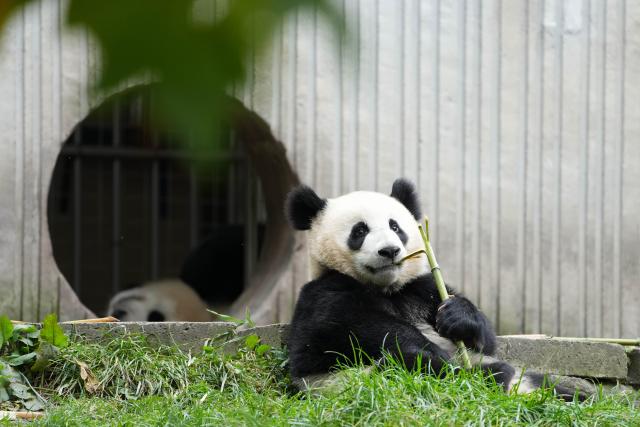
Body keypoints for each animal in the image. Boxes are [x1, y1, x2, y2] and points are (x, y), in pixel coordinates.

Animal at [285, 178, 583, 401]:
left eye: (395, 226)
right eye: (359, 231)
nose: (390, 251)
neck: (387, 288)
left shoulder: (421, 288)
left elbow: (486, 339)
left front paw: (458, 317)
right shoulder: (324, 291)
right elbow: (343, 325)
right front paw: (427, 347)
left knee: (515, 373)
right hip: (350, 380)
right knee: (406, 366)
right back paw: (459, 374)